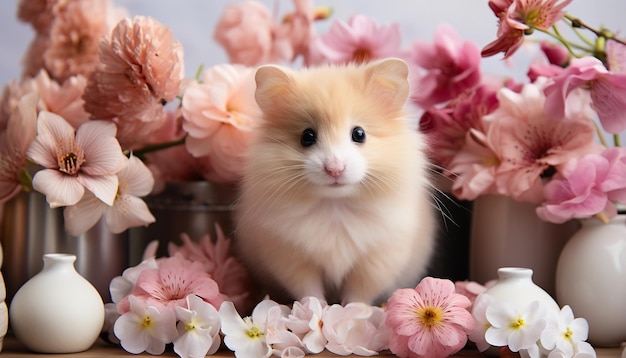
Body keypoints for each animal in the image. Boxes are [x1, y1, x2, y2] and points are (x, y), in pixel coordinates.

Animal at [233, 58, 434, 304]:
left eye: (359, 134)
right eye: (307, 136)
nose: (335, 169)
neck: (335, 203)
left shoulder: (378, 259)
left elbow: (359, 292)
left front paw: (353, 310)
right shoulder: (291, 256)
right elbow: (308, 288)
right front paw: (316, 309)